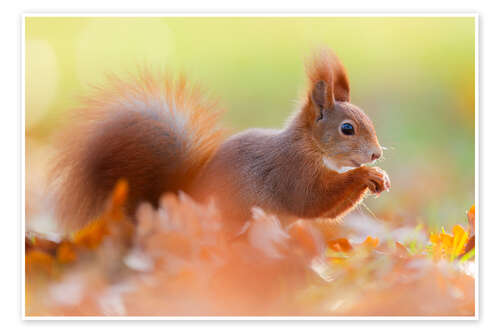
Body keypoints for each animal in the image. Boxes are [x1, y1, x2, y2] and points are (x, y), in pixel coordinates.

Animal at [52, 48, 392, 232]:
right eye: (347, 129)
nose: (376, 154)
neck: (310, 146)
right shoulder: (291, 171)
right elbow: (312, 202)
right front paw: (366, 175)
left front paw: (378, 175)